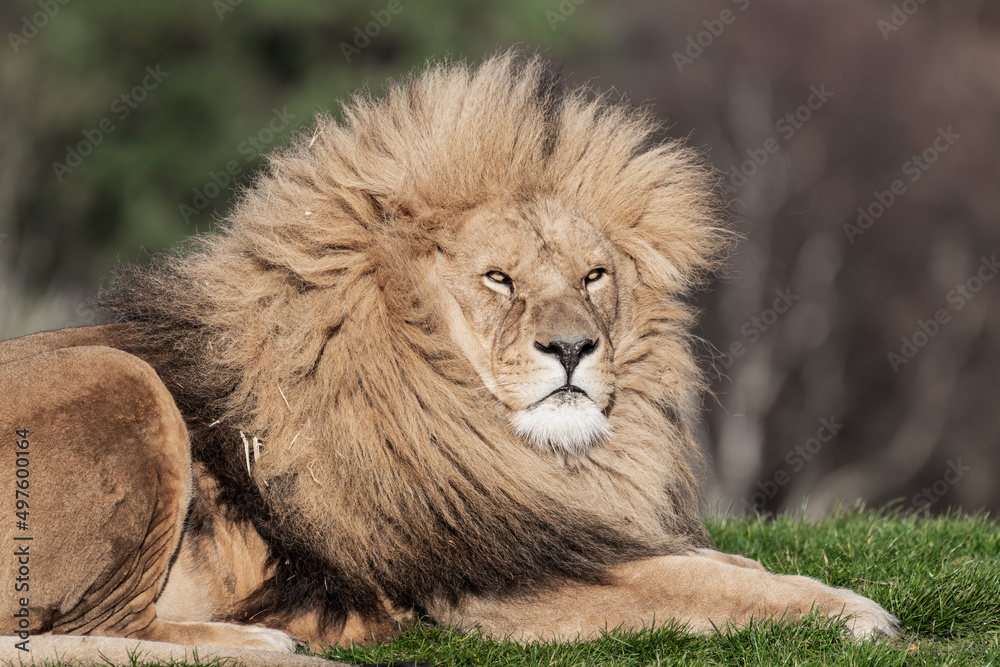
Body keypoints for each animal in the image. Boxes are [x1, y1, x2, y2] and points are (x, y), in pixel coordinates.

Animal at [0, 52, 899, 666]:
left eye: (594, 275)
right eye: (499, 278)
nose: (573, 347)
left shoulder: (569, 533)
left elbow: (715, 559)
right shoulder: (495, 583)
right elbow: (706, 585)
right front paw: (854, 612)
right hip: (126, 381)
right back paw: (259, 642)